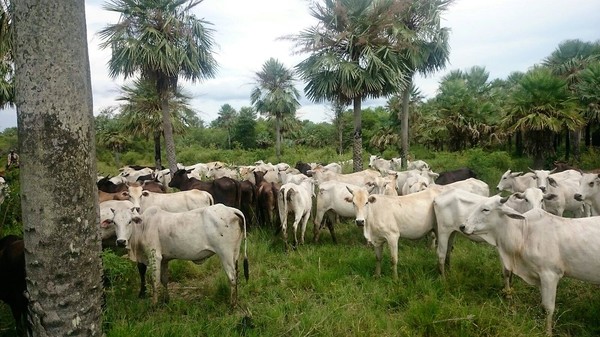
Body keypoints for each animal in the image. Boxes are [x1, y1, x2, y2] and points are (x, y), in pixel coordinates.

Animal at [112, 203, 248, 306]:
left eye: (129, 221)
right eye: (114, 222)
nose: (120, 242)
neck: (143, 226)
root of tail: (231, 209)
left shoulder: (154, 256)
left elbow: (155, 282)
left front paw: (154, 305)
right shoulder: (164, 259)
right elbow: (164, 280)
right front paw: (166, 300)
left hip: (225, 254)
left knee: (232, 277)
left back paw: (232, 304)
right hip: (235, 254)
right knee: (237, 275)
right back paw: (236, 301)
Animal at [462, 196, 600, 334]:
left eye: (485, 209)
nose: (463, 226)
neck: (524, 233)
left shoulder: (550, 275)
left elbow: (548, 308)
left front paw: (548, 332)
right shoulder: (539, 277)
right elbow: (543, 305)